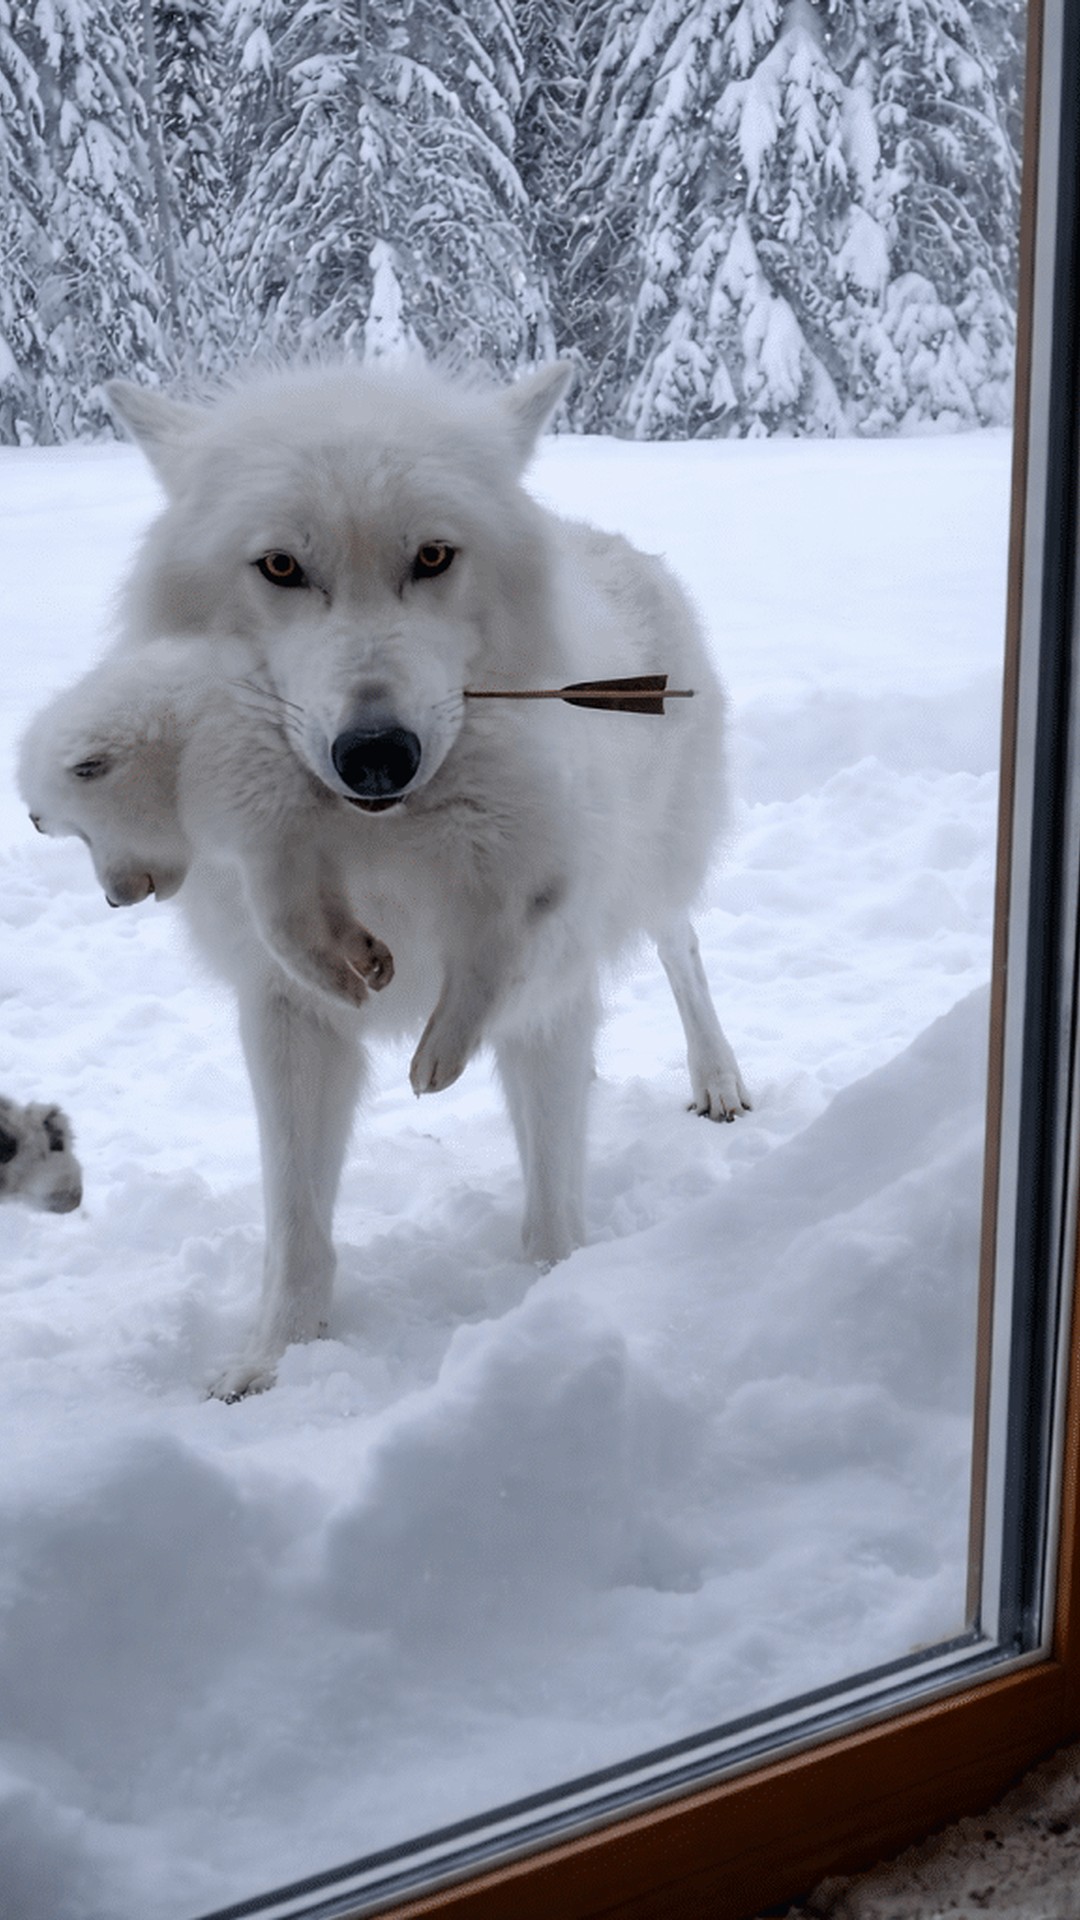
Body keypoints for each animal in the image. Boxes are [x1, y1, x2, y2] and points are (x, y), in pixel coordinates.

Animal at [18, 641, 394, 1009]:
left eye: (84, 833)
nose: (112, 901)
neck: (186, 743)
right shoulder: (306, 843)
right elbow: (331, 912)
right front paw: (365, 957)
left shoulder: (268, 833)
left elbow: (282, 929)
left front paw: (337, 985)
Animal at [89, 359, 747, 1397]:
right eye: (282, 567)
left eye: (434, 557)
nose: (375, 757)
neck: (387, 846)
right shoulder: (288, 1013)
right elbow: (297, 1221)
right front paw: (274, 1360)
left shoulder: (541, 982)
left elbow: (551, 1202)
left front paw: (559, 1309)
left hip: (652, 869)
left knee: (680, 945)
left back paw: (718, 1078)